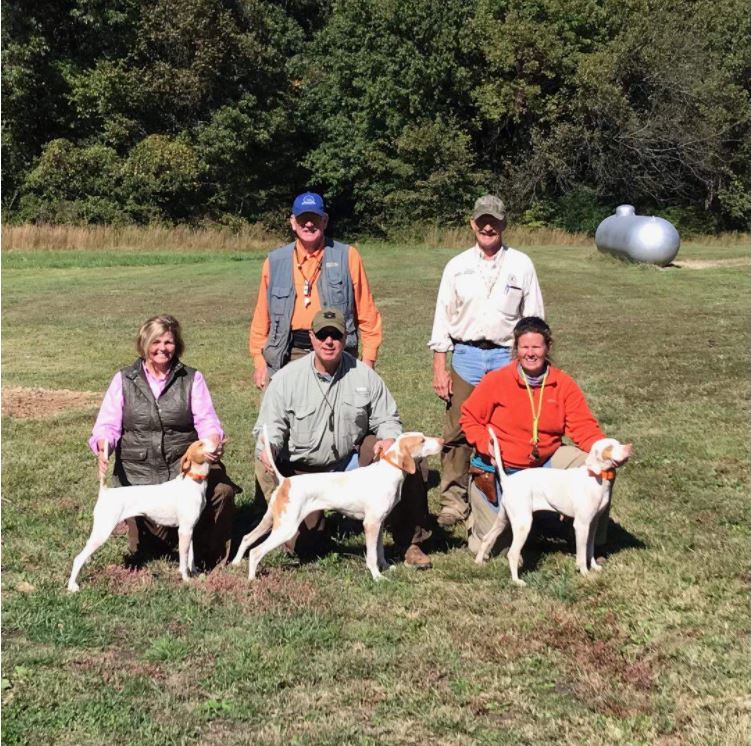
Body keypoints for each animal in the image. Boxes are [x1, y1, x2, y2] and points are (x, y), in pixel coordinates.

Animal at [67, 438, 214, 588]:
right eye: (201, 444)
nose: (216, 439)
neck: (193, 481)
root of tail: (105, 491)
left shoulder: (189, 530)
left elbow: (191, 556)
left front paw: (194, 572)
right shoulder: (184, 531)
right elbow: (183, 560)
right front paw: (186, 579)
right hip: (103, 531)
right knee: (78, 558)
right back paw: (72, 586)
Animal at [232, 428, 444, 580]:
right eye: (422, 440)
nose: (442, 442)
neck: (388, 472)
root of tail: (285, 481)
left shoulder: (380, 523)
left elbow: (380, 551)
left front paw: (385, 567)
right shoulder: (371, 524)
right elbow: (372, 556)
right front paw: (377, 577)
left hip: (272, 521)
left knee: (246, 538)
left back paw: (235, 564)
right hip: (286, 529)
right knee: (256, 551)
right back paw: (252, 579)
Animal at [476, 430, 636, 580]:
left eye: (618, 443)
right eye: (609, 447)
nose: (629, 447)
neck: (596, 478)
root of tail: (508, 480)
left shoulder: (593, 524)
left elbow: (590, 549)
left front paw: (595, 567)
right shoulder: (581, 525)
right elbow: (581, 554)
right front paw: (584, 572)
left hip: (503, 520)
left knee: (486, 538)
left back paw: (478, 563)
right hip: (523, 524)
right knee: (512, 553)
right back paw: (517, 581)